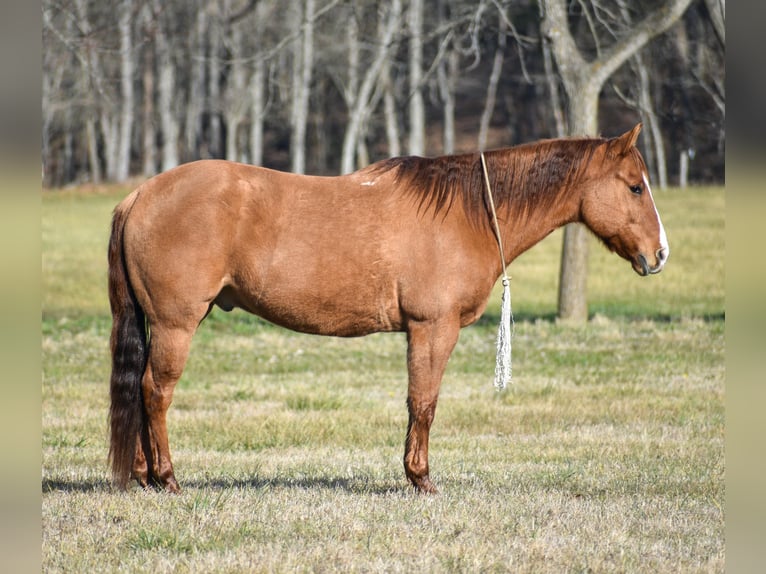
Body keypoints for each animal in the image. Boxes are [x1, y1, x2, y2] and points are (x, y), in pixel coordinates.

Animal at [109, 122, 672, 496]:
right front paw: (420, 480)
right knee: (155, 392)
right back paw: (167, 478)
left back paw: (142, 477)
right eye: (634, 186)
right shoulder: (432, 328)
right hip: (176, 324)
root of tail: (140, 195)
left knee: (140, 389)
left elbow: (418, 402)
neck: (463, 213)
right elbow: (423, 402)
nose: (660, 254)